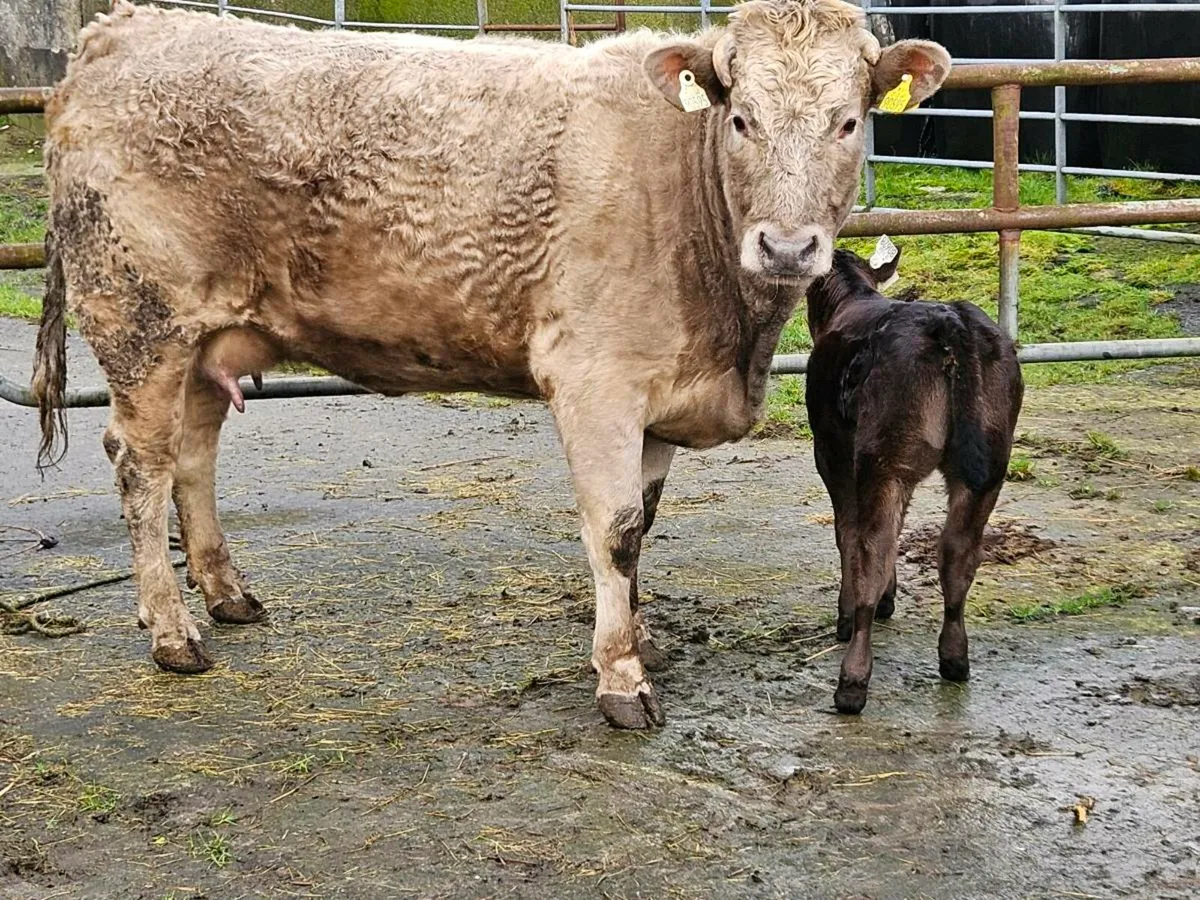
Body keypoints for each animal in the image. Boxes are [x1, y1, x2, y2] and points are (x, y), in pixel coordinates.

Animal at [32, 0, 950, 729]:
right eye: (741, 119)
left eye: (847, 121)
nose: (788, 247)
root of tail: (125, 28)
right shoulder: (596, 380)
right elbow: (615, 530)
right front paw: (622, 678)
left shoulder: (657, 398)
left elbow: (643, 526)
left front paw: (641, 635)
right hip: (139, 319)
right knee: (141, 466)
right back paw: (174, 633)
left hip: (206, 337)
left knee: (193, 457)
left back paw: (225, 595)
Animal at [804, 242, 1023, 715]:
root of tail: (951, 321)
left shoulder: (830, 450)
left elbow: (846, 531)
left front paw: (847, 614)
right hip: (991, 463)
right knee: (958, 551)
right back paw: (954, 657)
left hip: (881, 458)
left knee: (874, 547)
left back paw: (852, 680)